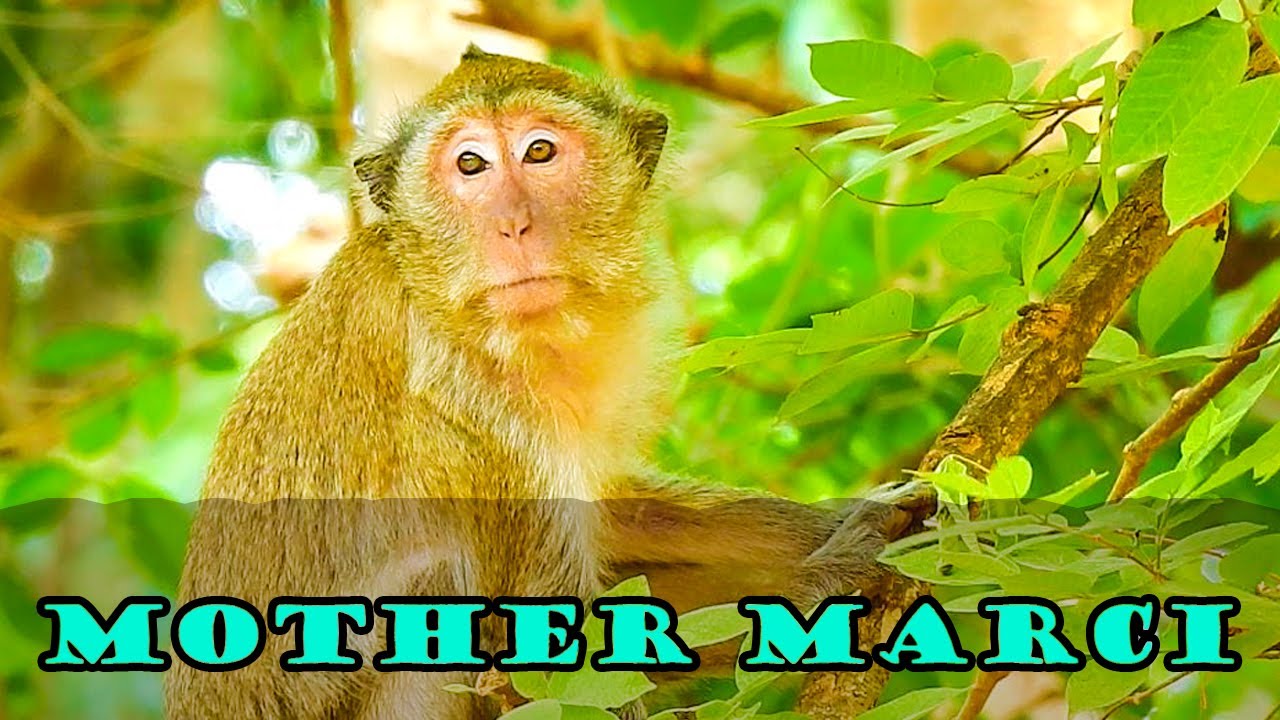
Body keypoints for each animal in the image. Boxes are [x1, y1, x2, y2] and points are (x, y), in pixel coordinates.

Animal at [166, 46, 910, 720]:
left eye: (541, 152)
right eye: (470, 165)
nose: (514, 224)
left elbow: (618, 517)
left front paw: (862, 518)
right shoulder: (466, 405)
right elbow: (543, 668)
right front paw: (825, 584)